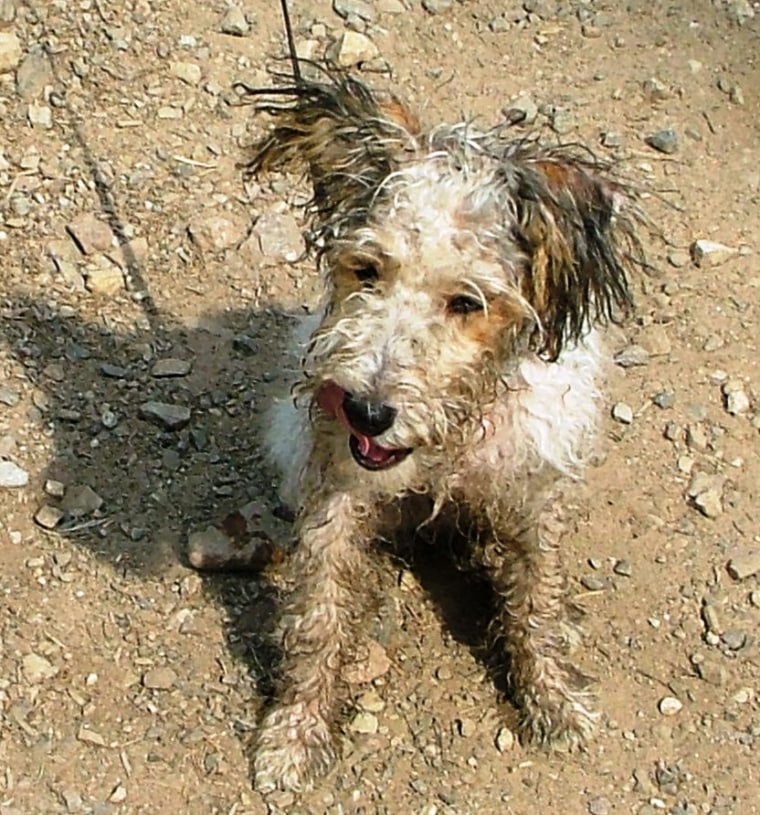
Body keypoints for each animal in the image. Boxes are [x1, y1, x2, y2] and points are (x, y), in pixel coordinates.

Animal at [232, 67, 640, 792]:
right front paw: (295, 732)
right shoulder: (336, 494)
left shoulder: (530, 491)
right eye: (367, 270)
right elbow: (318, 616)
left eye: (467, 302)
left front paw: (553, 697)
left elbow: (536, 600)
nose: (367, 412)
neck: (449, 443)